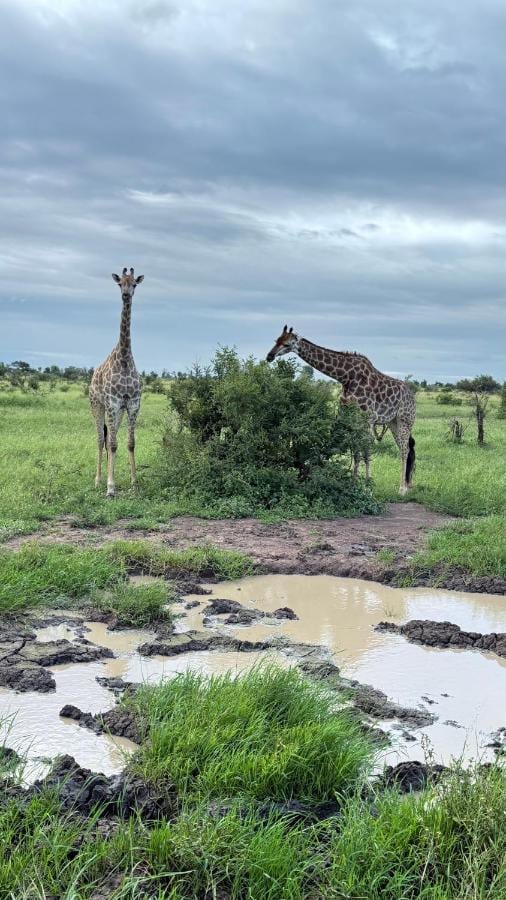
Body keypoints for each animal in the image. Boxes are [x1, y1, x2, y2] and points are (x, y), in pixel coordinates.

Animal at [266, 326, 416, 495]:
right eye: (276, 340)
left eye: (287, 344)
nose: (269, 356)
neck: (345, 377)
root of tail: (412, 396)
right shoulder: (350, 418)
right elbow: (356, 452)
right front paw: (355, 483)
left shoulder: (367, 418)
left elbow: (366, 451)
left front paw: (368, 487)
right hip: (392, 422)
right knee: (406, 447)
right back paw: (407, 485)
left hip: (405, 420)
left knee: (405, 449)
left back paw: (402, 489)